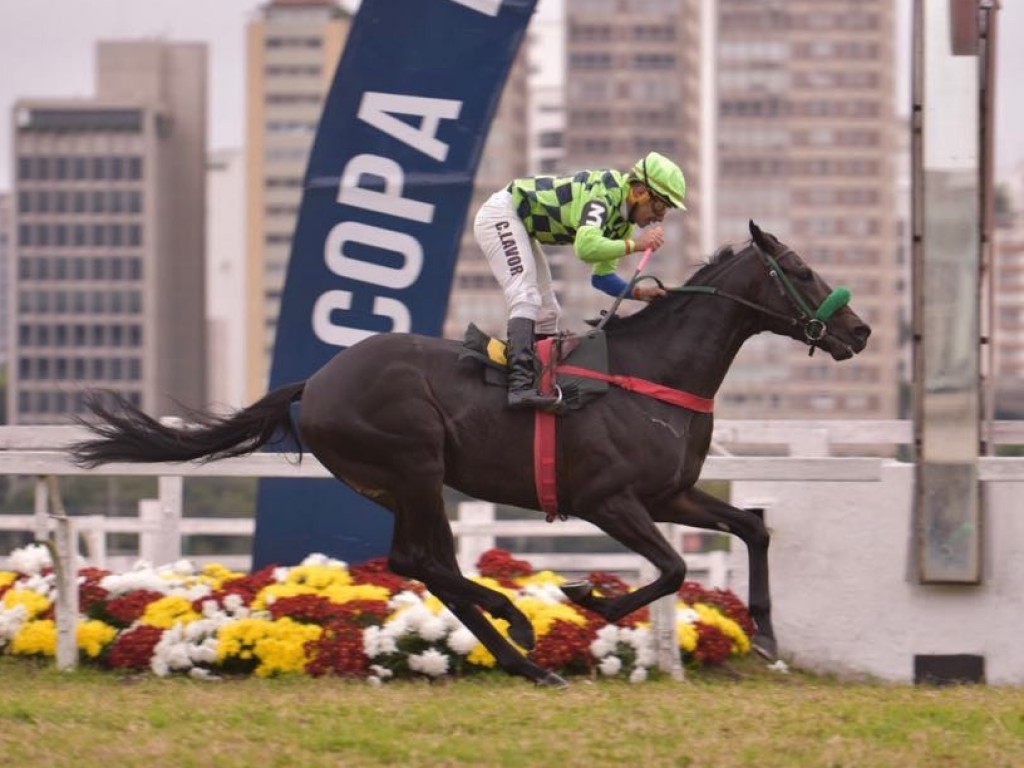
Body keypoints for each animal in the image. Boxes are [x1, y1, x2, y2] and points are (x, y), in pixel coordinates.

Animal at [72, 221, 868, 684]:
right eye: (799, 270)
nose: (857, 331)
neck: (652, 373)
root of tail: (317, 380)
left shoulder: (668, 493)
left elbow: (754, 528)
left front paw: (767, 636)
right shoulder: (608, 500)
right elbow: (671, 570)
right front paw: (588, 596)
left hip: (406, 484)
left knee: (426, 566)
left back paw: (526, 661)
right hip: (416, 464)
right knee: (421, 561)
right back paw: (521, 628)